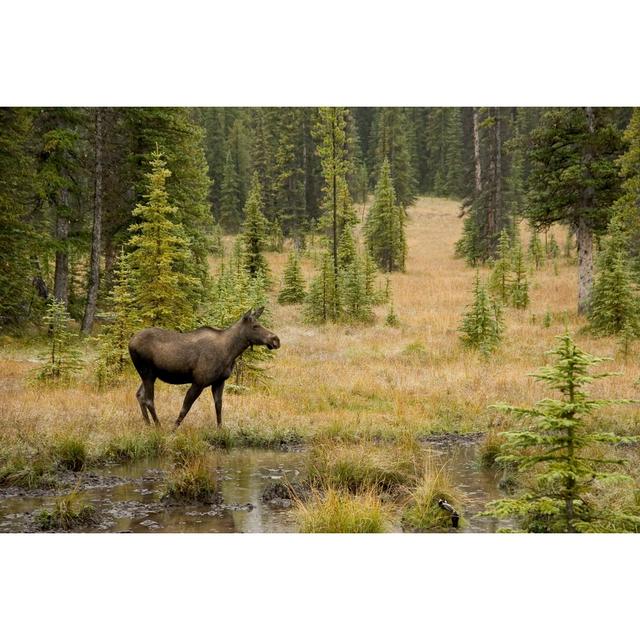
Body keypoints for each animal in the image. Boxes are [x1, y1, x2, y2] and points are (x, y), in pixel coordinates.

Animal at [128, 306, 280, 428]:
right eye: (255, 326)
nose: (275, 340)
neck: (231, 352)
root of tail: (130, 342)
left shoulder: (219, 381)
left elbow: (218, 406)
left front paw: (220, 430)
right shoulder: (199, 382)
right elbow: (185, 408)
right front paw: (173, 430)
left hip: (150, 374)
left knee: (139, 395)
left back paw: (148, 425)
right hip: (147, 372)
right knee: (149, 400)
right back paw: (158, 426)